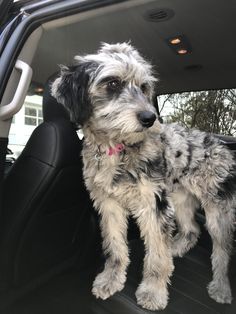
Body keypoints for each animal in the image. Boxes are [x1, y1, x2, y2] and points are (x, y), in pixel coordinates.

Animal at [50, 42, 235, 312]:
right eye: (112, 83)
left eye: (144, 87)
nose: (149, 118)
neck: (117, 148)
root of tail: (219, 144)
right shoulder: (109, 204)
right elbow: (115, 246)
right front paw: (111, 279)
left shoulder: (152, 205)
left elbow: (156, 255)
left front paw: (153, 292)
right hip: (179, 198)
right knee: (191, 229)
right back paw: (175, 247)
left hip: (217, 209)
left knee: (223, 250)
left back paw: (221, 287)